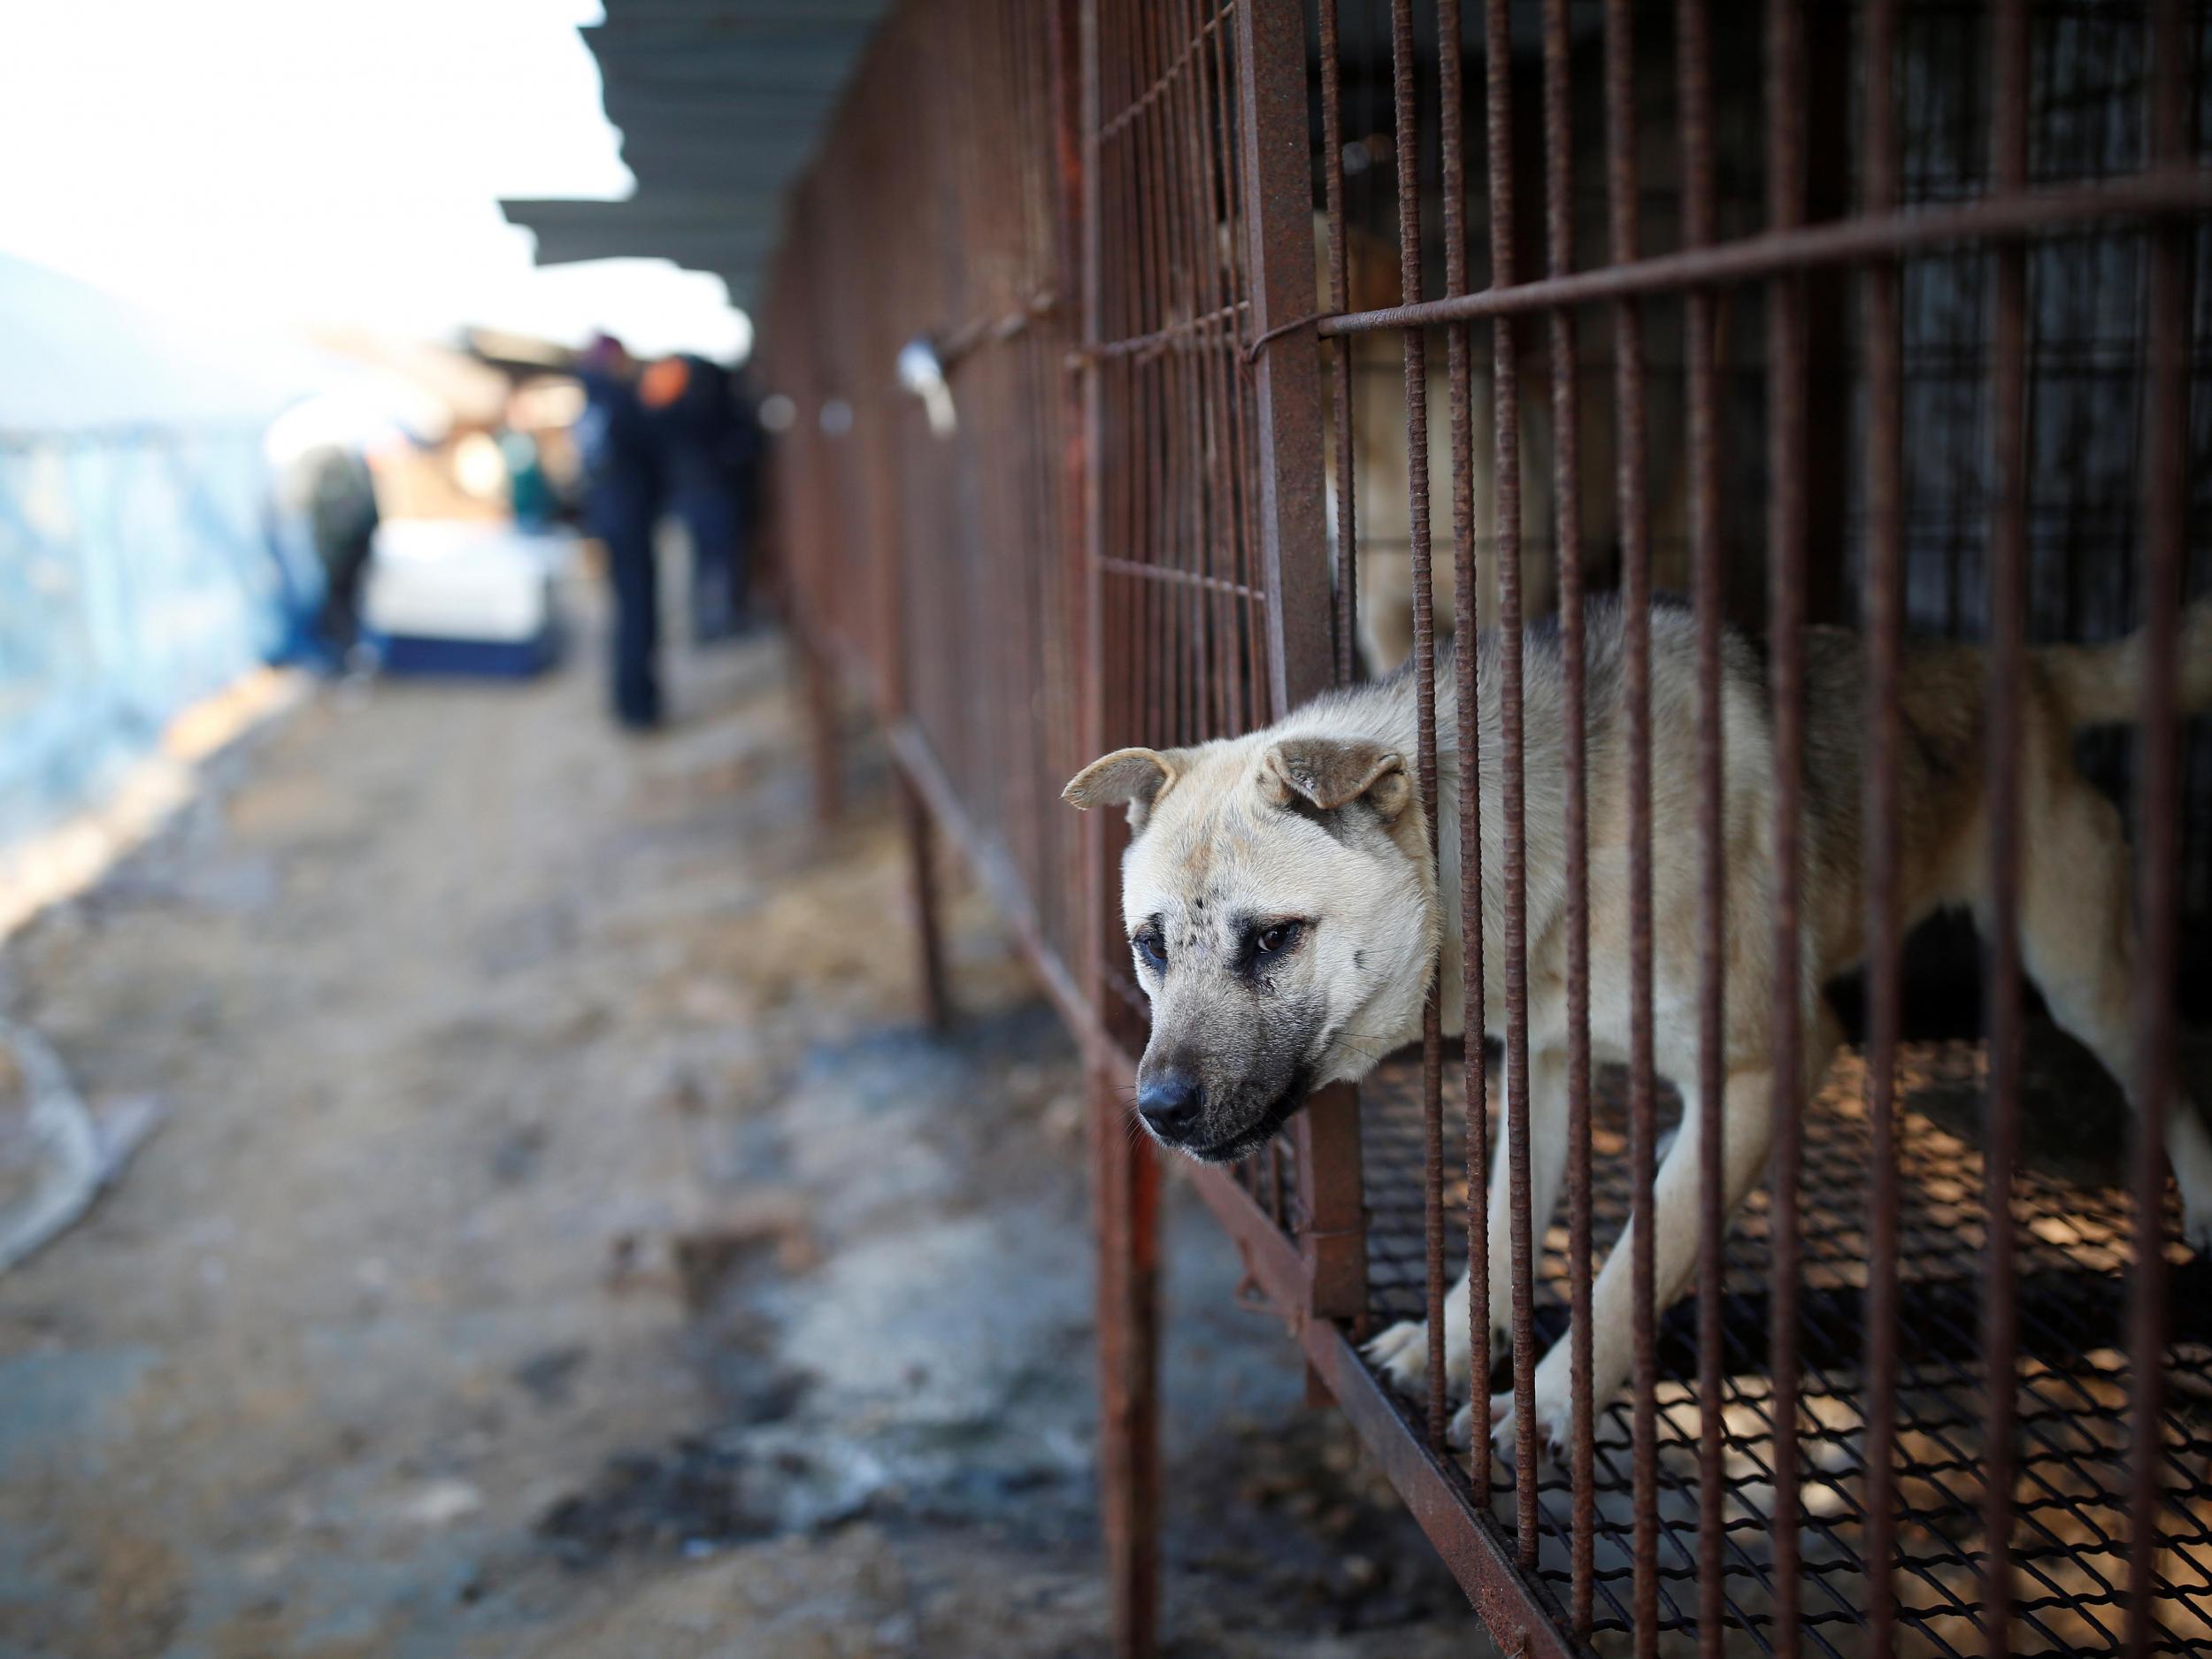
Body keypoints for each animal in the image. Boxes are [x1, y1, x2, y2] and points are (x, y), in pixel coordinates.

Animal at [1057, 597, 2212, 1451]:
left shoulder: (1760, 1066)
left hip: (2081, 979)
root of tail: (2022, 664)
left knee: (2168, 1073)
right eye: (1150, 946)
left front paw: (1550, 1411)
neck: (1532, 837)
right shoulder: (1545, 1061)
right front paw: (1450, 1341)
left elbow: (1626, 1276)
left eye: (1270, 939)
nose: (1156, 1108)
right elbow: (1500, 1226)